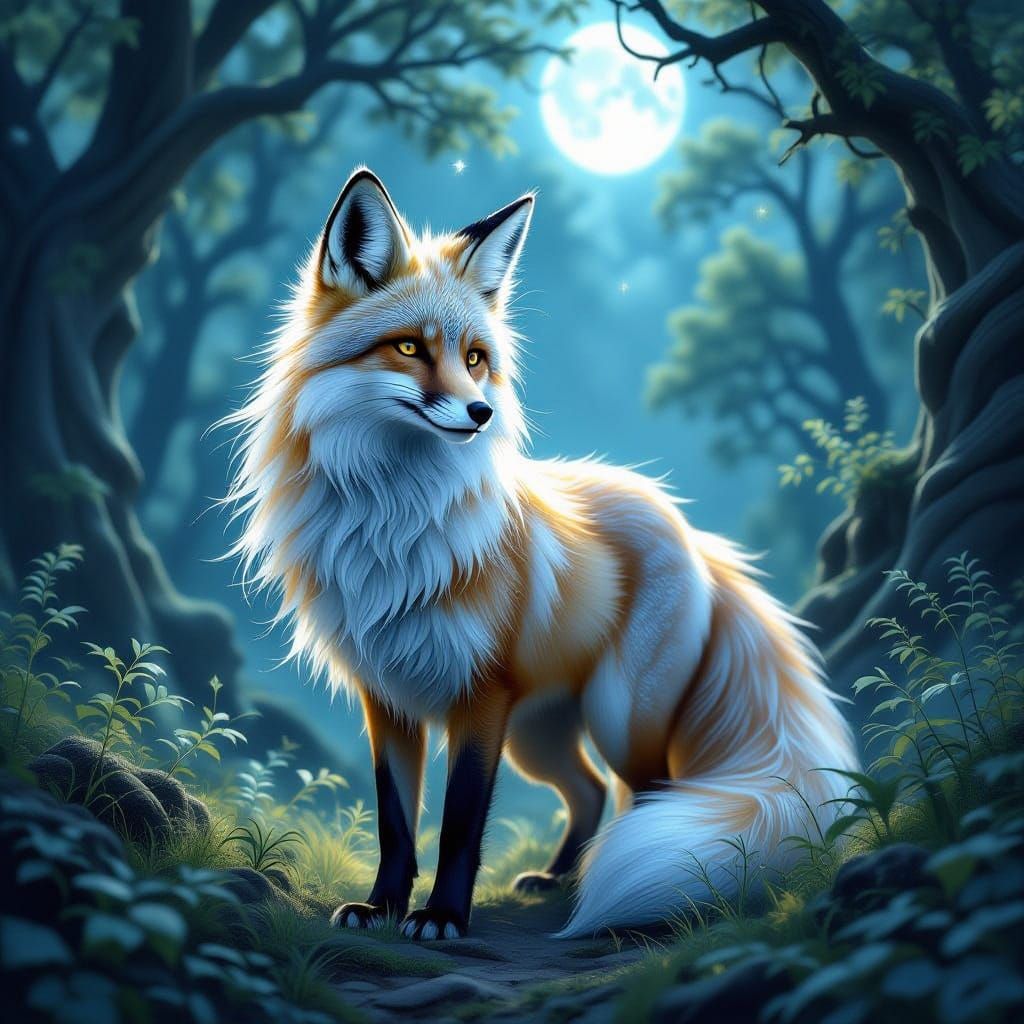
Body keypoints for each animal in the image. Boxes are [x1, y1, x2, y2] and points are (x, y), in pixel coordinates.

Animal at [225, 167, 859, 940]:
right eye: (408, 348)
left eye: (475, 359)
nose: (481, 413)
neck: (392, 524)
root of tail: (689, 529)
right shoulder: (388, 696)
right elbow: (396, 822)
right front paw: (382, 907)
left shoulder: (481, 695)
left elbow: (461, 823)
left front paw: (443, 917)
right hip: (539, 735)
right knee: (587, 790)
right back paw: (560, 879)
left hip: (616, 715)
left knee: (647, 791)